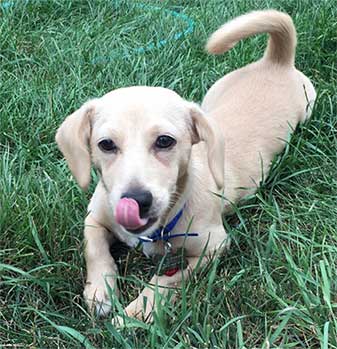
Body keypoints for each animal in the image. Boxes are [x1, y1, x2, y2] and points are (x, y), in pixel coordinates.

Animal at [55, 10, 316, 320]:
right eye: (106, 144)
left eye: (165, 141)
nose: (137, 200)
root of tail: (276, 61)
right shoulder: (94, 216)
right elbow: (94, 249)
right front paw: (99, 290)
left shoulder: (214, 246)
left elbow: (166, 279)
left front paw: (136, 312)